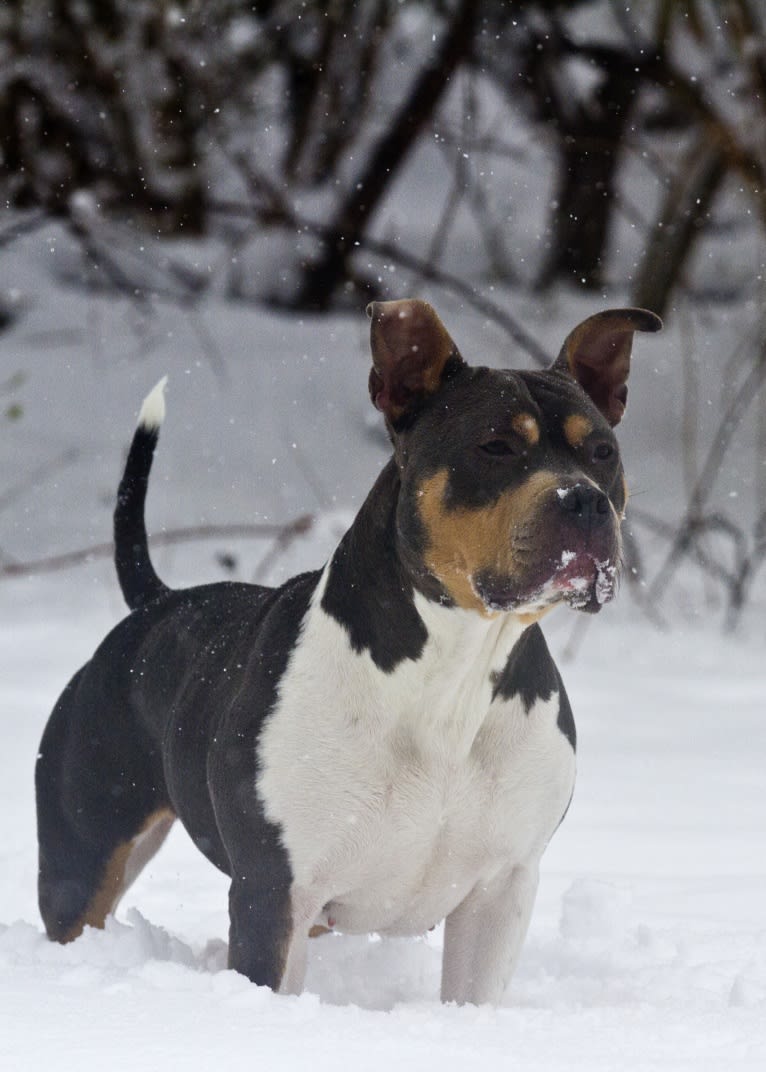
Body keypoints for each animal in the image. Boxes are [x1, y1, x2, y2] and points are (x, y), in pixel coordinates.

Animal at [34, 300, 659, 1003]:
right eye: (496, 446)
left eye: (603, 452)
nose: (586, 500)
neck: (455, 671)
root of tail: (157, 604)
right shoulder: (275, 890)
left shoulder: (500, 891)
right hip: (84, 856)